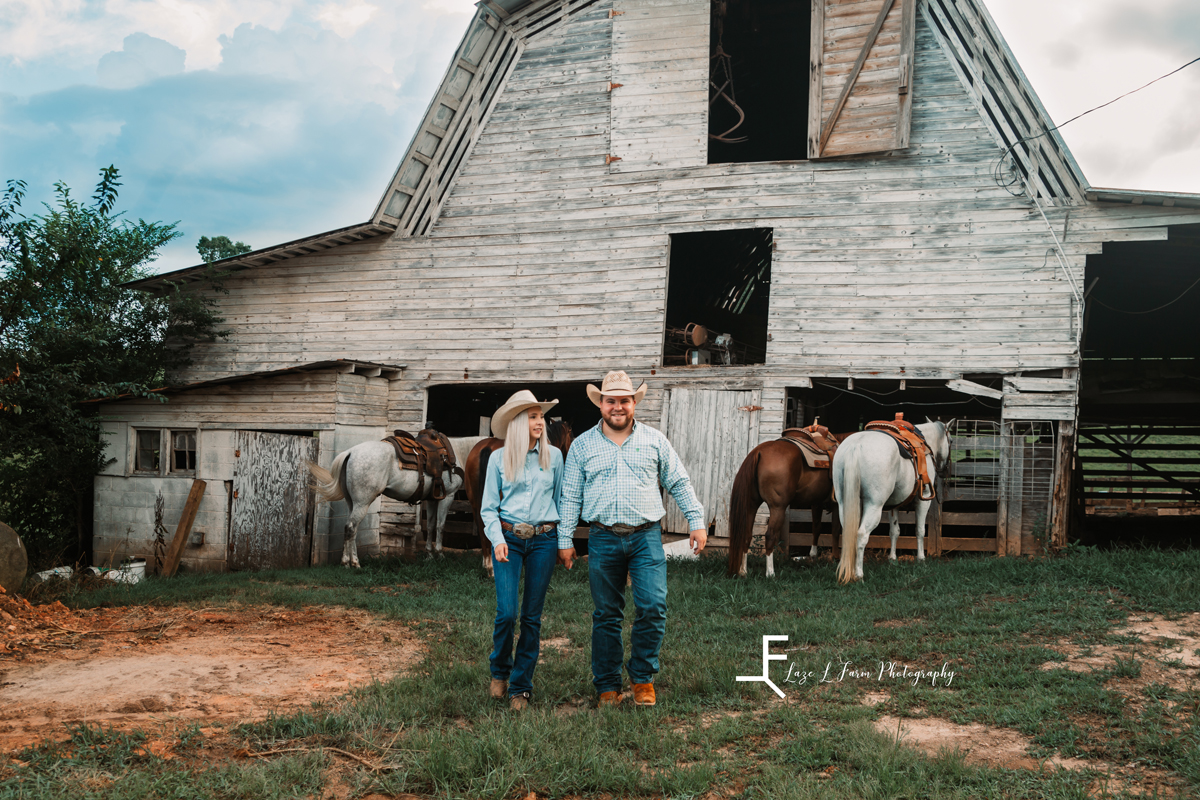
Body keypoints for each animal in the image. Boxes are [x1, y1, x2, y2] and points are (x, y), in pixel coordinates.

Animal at [304, 438, 482, 568]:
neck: (457, 453)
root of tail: (350, 452)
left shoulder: (433, 499)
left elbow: (430, 526)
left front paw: (429, 555)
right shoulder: (448, 496)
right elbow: (440, 526)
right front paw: (440, 554)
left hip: (352, 503)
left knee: (350, 528)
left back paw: (348, 562)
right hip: (363, 503)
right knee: (351, 528)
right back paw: (353, 563)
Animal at [724, 434, 849, 578]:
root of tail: (759, 451)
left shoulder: (816, 503)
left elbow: (816, 528)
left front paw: (813, 556)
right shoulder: (837, 504)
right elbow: (836, 530)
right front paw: (836, 558)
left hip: (751, 506)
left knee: (746, 534)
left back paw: (743, 571)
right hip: (778, 508)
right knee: (770, 536)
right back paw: (770, 573)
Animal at [835, 419, 945, 582]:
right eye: (951, 440)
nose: (945, 469)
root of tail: (855, 446)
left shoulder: (894, 505)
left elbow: (894, 531)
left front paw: (892, 559)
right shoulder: (923, 500)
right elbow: (920, 530)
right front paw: (921, 559)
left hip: (844, 504)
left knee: (850, 533)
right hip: (874, 506)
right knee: (862, 534)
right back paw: (859, 574)